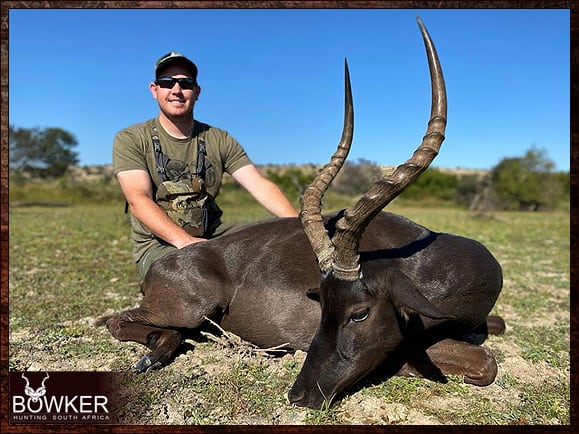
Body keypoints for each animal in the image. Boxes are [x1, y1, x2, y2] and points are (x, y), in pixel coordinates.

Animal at [106, 17, 506, 410]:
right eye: (322, 305)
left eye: (359, 312)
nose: (300, 394)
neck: (432, 263)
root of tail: (165, 263)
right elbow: (485, 362)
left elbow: (495, 330)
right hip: (190, 309)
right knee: (117, 320)